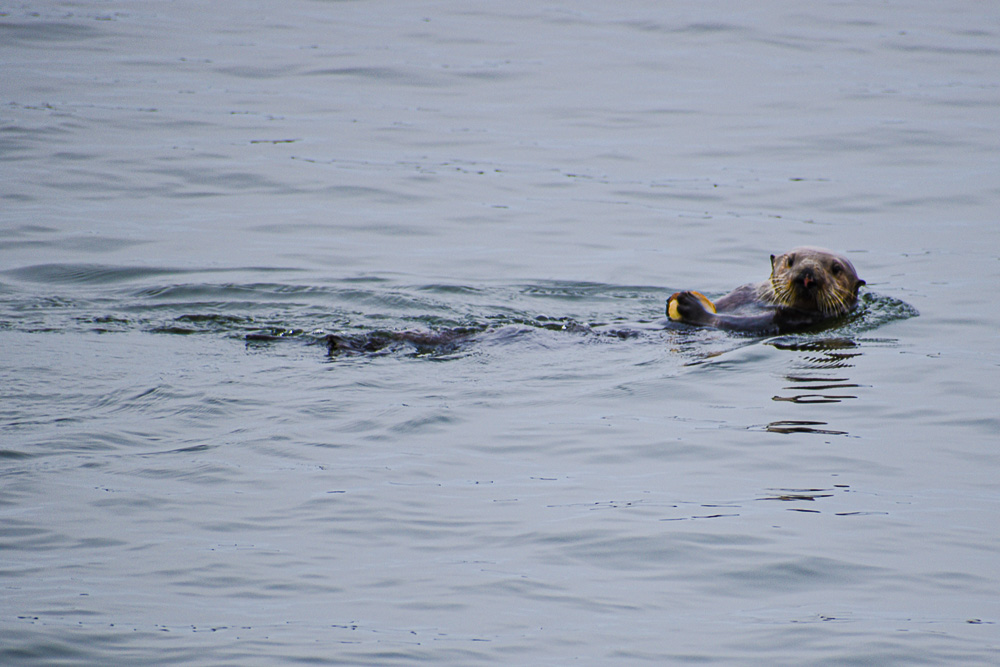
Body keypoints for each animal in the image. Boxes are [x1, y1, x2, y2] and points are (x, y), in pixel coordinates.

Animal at [666, 247, 865, 334]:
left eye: (836, 269)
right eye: (790, 261)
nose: (808, 273)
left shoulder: (792, 318)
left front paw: (692, 305)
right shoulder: (745, 291)